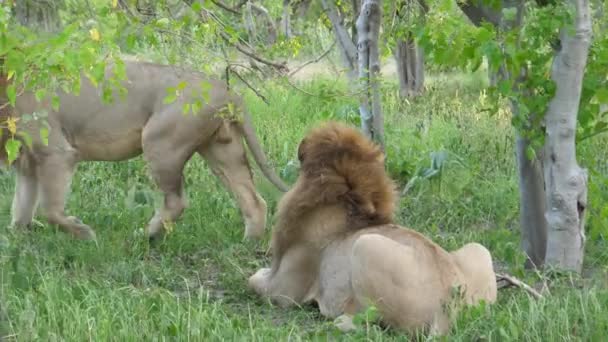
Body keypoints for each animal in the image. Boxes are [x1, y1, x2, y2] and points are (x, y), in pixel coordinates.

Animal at [0, 60, 290, 240]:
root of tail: (228, 90)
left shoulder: (56, 153)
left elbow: (49, 209)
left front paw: (84, 233)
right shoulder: (28, 163)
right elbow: (21, 205)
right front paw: (19, 237)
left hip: (159, 142)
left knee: (176, 202)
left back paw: (145, 235)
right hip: (221, 150)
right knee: (253, 199)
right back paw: (250, 241)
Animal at [248, 121, 498, 336]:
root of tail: (449, 305)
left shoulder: (285, 290)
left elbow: (252, 279)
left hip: (365, 246)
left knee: (371, 322)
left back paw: (338, 319)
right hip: (478, 250)